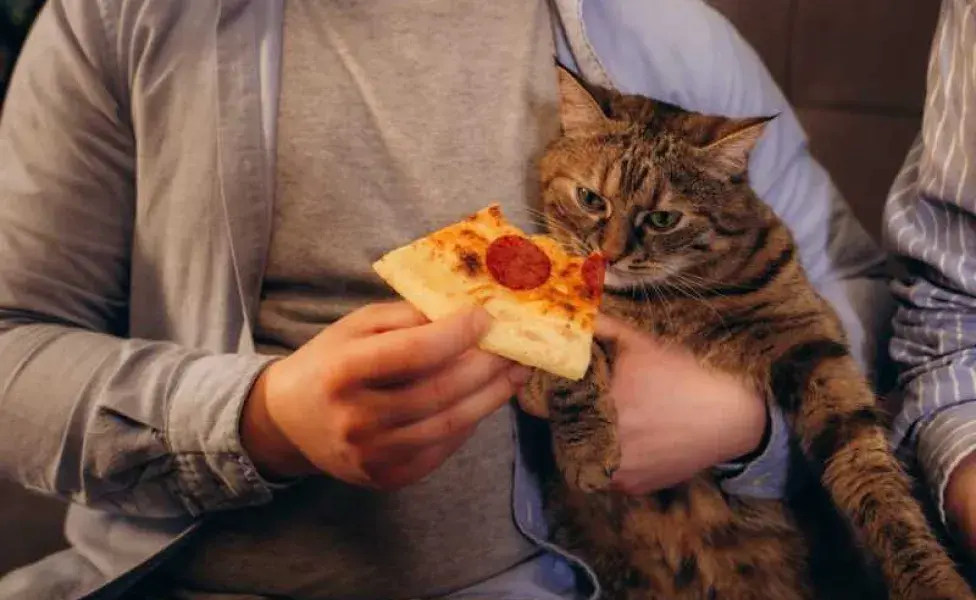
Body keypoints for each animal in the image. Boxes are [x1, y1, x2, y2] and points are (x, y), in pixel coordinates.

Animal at [520, 67, 976, 600]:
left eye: (663, 218)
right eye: (591, 199)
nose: (608, 255)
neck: (664, 299)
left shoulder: (812, 341)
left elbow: (873, 475)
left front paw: (932, 579)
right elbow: (572, 362)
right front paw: (588, 446)